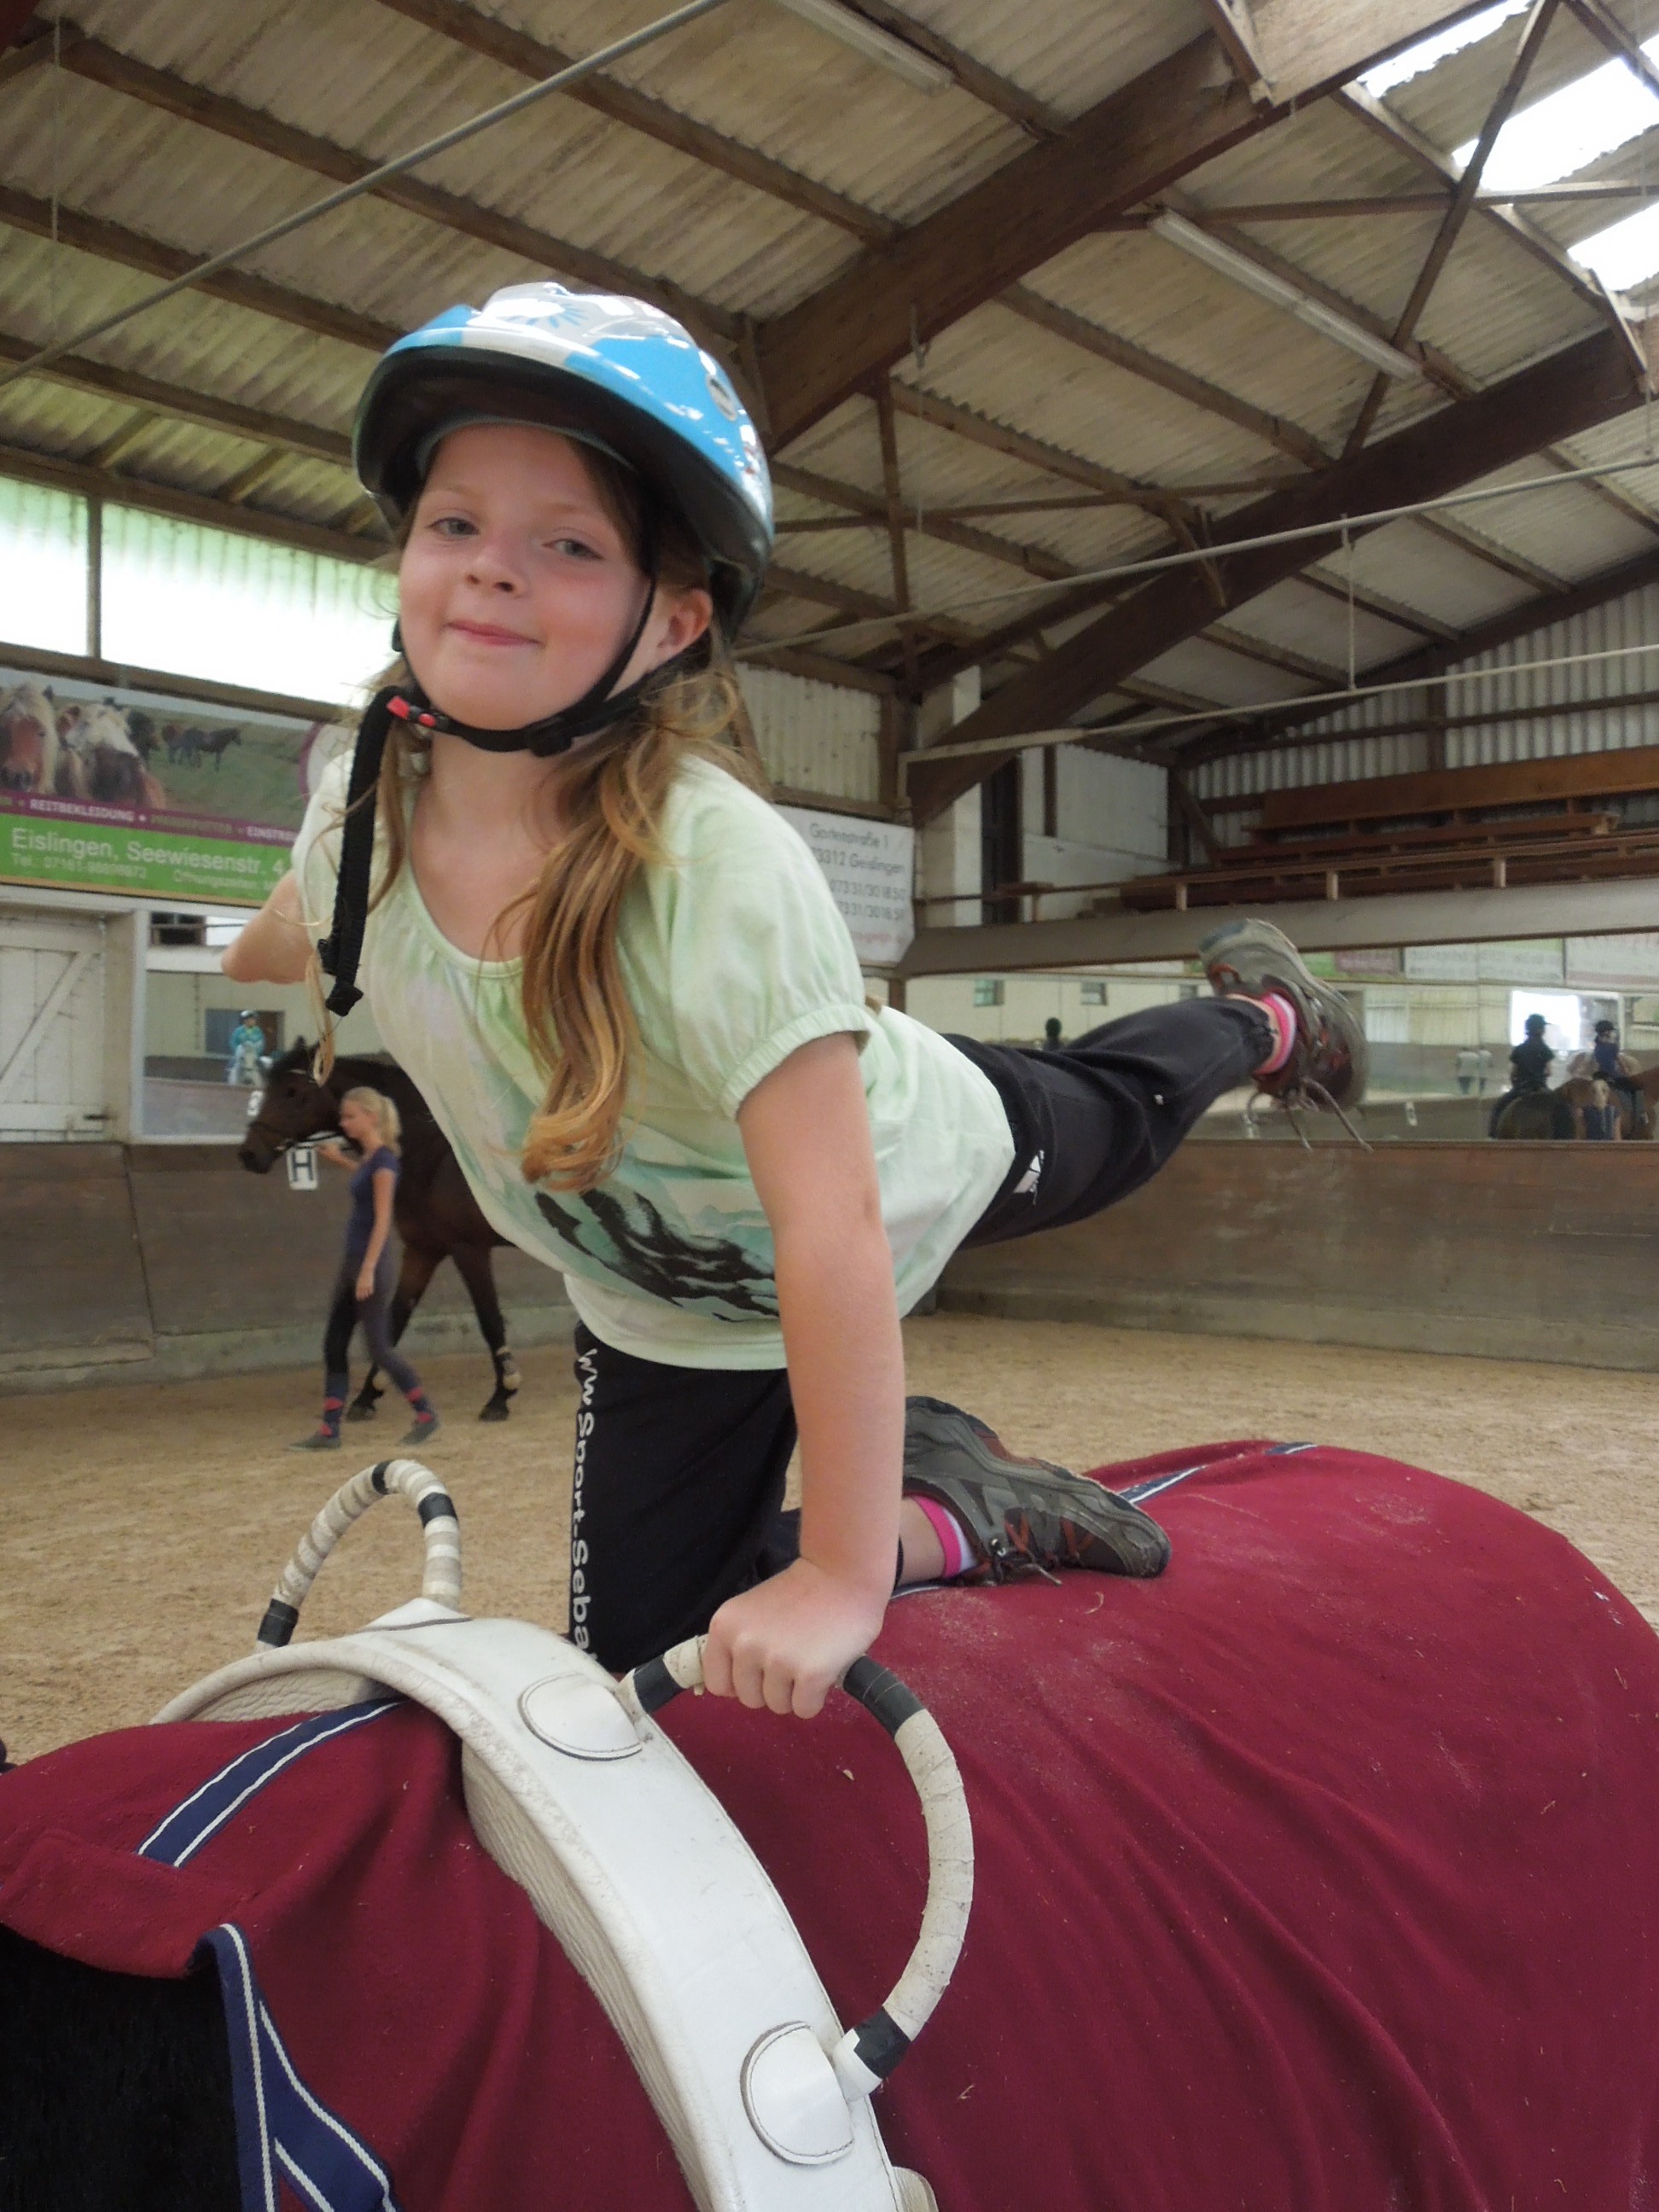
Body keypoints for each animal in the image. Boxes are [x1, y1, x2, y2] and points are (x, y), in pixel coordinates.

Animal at [240, 1040, 521, 1423]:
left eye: (293, 1092)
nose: (248, 1154)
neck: (434, 1152)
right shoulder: (422, 1250)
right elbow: (396, 1319)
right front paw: (367, 1395)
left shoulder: (470, 1249)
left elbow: (490, 1319)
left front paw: (501, 1395)